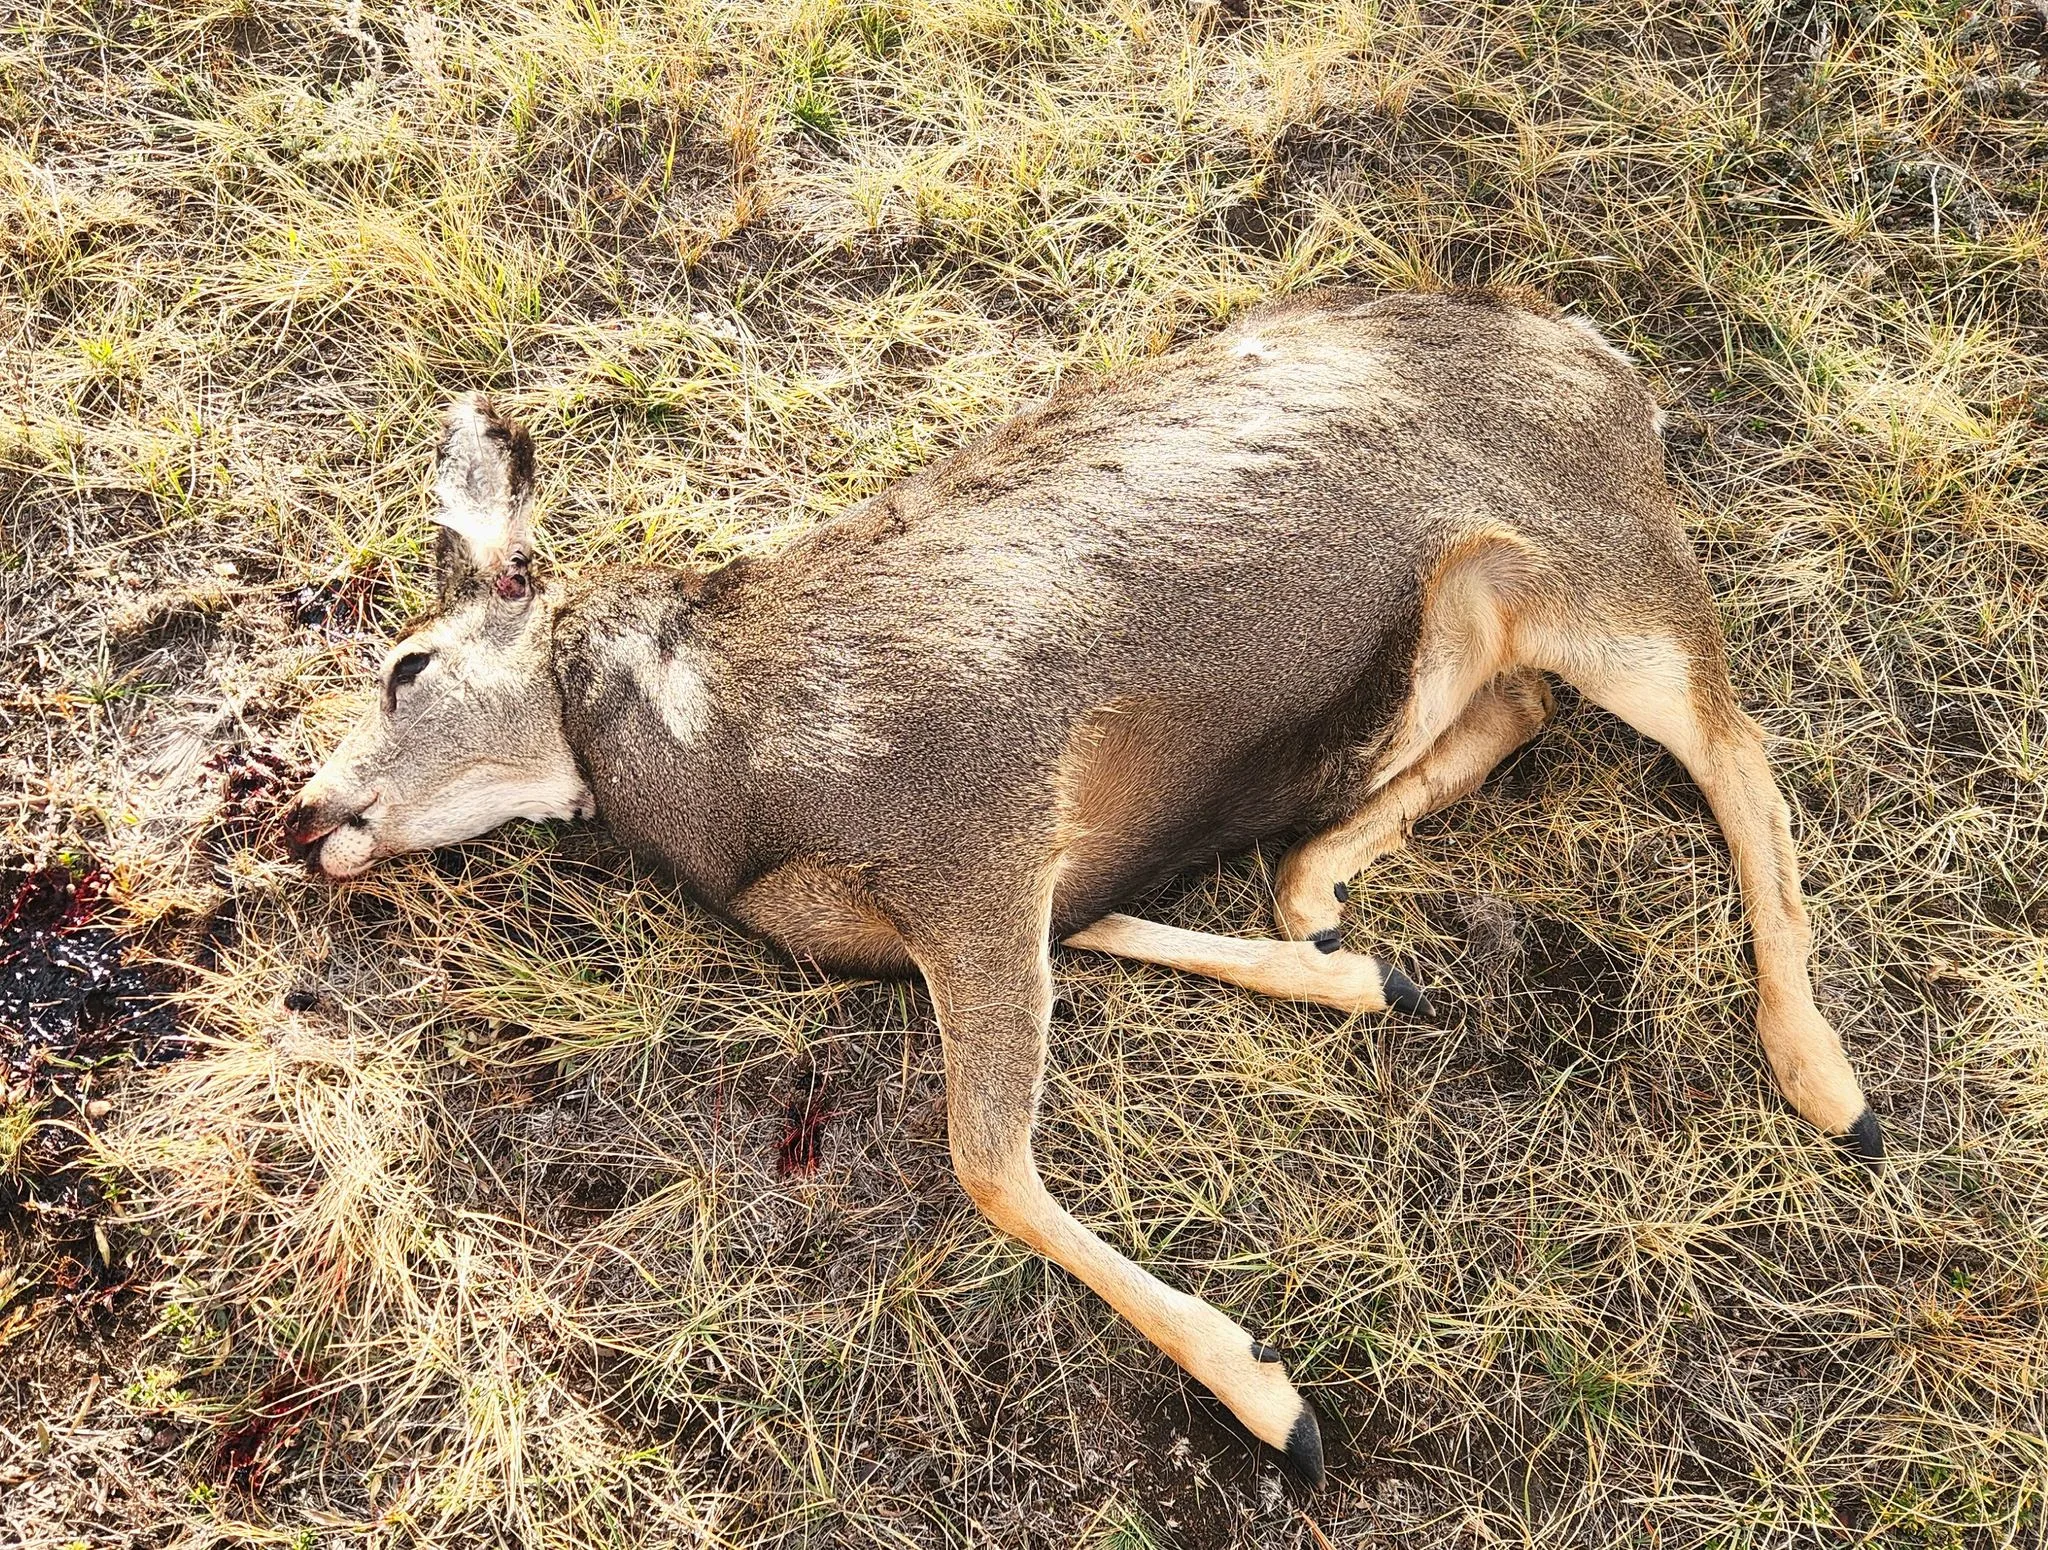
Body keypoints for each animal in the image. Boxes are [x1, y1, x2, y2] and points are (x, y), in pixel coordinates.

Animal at [282, 287, 1880, 1484]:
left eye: (405, 665)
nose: (301, 814)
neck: (726, 778)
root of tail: (1613, 369)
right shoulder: (1040, 867)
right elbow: (1111, 931)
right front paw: (1360, 978)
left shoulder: (973, 802)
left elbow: (986, 1156)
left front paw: (1274, 1397)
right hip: (1480, 619)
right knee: (1514, 711)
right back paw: (1320, 887)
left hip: (1608, 561)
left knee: (1739, 753)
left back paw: (1827, 1078)